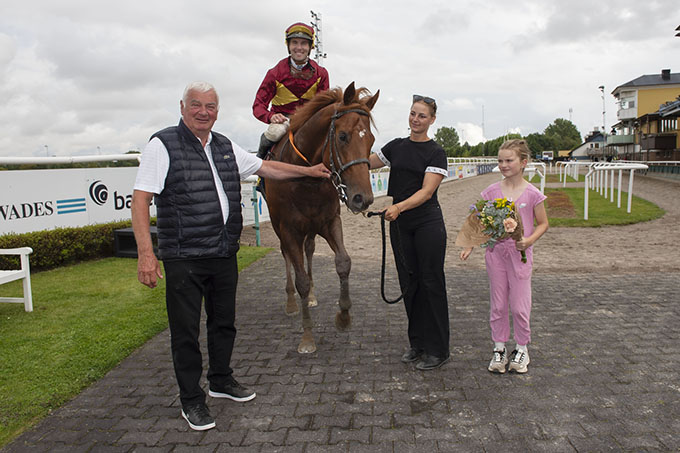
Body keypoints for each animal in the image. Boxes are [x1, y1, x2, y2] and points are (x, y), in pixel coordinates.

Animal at [264, 81, 380, 354]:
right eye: (342, 136)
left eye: (370, 139)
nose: (362, 198)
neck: (306, 178)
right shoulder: (289, 229)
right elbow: (301, 281)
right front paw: (307, 338)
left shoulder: (329, 222)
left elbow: (344, 262)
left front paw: (344, 317)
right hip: (280, 228)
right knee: (288, 259)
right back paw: (291, 302)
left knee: (309, 251)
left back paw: (313, 297)